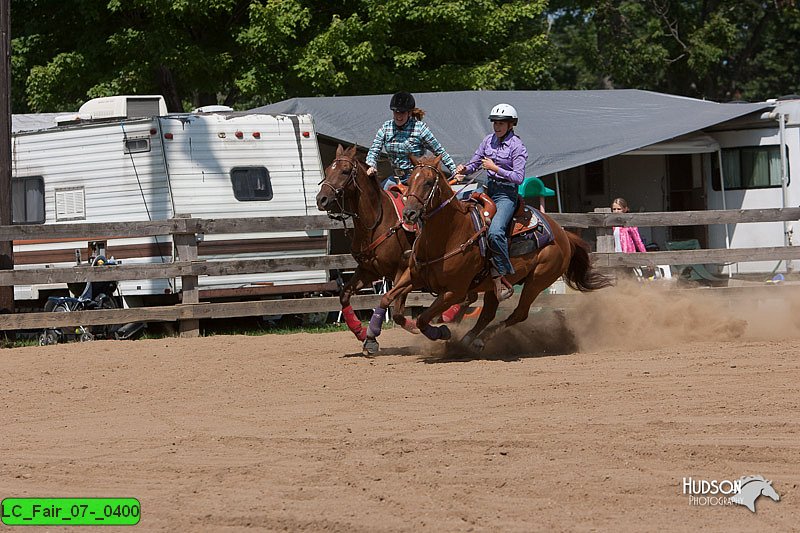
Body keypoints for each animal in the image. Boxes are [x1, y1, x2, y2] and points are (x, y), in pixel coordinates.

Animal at [316, 143, 422, 338]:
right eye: (327, 170)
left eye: (345, 171)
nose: (321, 199)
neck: (376, 222)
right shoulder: (368, 270)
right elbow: (344, 295)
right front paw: (360, 331)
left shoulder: (402, 269)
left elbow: (396, 310)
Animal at [362, 154, 612, 354]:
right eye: (410, 180)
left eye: (429, 182)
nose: (409, 214)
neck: (448, 234)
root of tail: (562, 233)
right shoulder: (413, 276)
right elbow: (388, 299)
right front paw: (371, 338)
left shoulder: (454, 291)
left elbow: (423, 318)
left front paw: (442, 332)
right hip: (495, 286)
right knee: (488, 313)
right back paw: (469, 340)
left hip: (537, 280)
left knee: (519, 314)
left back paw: (479, 341)